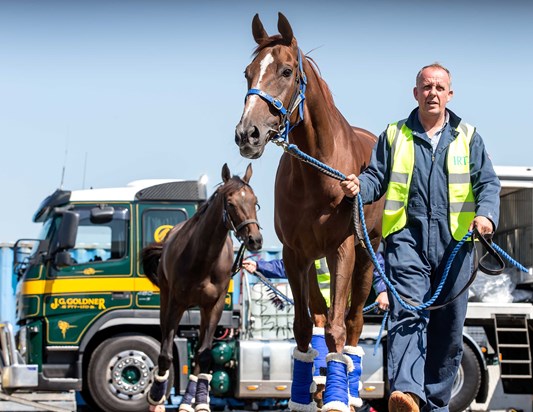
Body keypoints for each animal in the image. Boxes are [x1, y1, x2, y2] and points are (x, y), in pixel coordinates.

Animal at [141, 164, 262, 412]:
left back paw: (191, 401)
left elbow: (204, 355)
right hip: (167, 300)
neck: (203, 258)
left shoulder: (215, 305)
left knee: (199, 352)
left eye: (255, 201)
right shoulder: (175, 303)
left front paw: (202, 401)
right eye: (231, 203)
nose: (255, 240)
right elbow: (165, 354)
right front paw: (156, 396)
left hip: (205, 311)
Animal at [235, 12, 380, 412]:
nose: (247, 133)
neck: (318, 172)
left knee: (354, 322)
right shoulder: (294, 254)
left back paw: (349, 391)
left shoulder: (342, 251)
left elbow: (338, 326)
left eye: (286, 71)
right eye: (247, 72)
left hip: (367, 256)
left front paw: (337, 399)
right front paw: (302, 395)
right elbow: (303, 327)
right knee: (317, 313)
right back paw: (317, 386)